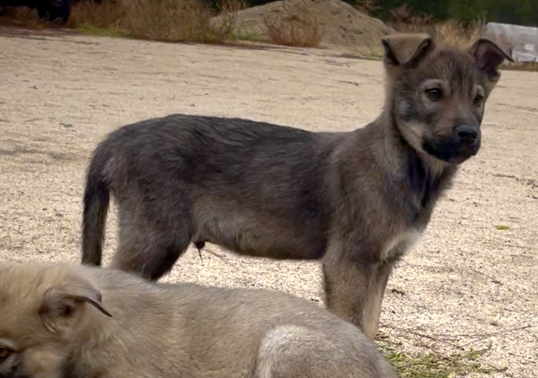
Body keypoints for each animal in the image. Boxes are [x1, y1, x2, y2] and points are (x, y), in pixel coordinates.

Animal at [80, 33, 510, 340]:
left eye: (478, 99)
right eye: (433, 93)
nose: (469, 135)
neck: (406, 166)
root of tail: (115, 139)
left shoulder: (381, 265)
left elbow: (369, 329)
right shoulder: (349, 261)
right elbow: (353, 327)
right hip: (155, 239)